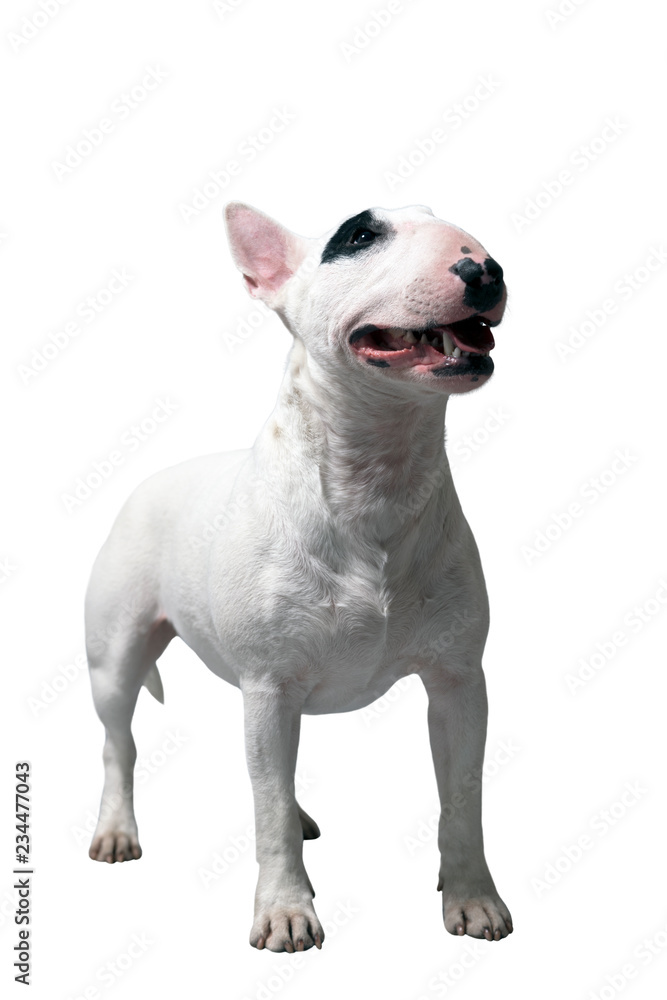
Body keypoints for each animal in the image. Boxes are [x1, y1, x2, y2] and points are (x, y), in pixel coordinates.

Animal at [86, 199, 516, 948]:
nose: (482, 267)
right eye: (359, 236)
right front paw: (286, 910)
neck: (375, 470)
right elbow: (265, 810)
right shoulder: (268, 683)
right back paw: (116, 829)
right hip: (115, 658)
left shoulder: (460, 682)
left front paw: (472, 899)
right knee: (121, 743)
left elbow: (462, 799)